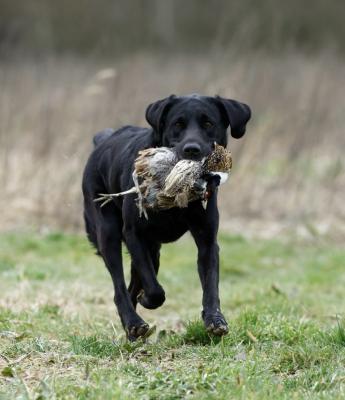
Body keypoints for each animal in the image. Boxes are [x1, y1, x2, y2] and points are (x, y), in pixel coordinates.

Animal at [83, 94, 250, 340]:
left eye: (208, 124)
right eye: (177, 124)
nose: (192, 149)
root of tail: (103, 141)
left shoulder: (207, 240)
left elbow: (211, 284)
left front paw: (214, 319)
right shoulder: (134, 234)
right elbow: (154, 289)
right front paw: (148, 299)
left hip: (153, 250)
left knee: (132, 285)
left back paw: (132, 328)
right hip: (108, 233)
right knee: (120, 286)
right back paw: (134, 321)